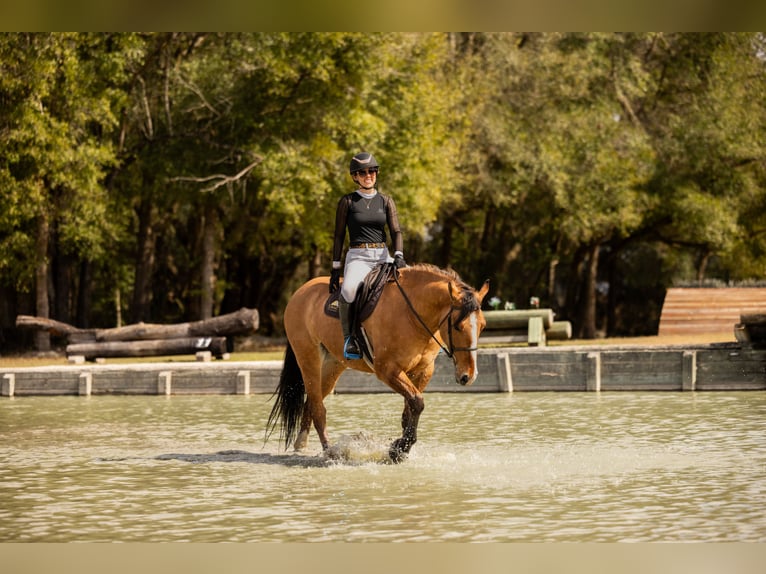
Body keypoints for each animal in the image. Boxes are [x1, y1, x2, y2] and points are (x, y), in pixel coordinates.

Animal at [266, 263, 490, 463]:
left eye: (483, 326)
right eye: (458, 326)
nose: (468, 376)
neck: (412, 314)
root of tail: (301, 291)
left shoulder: (422, 371)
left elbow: (409, 411)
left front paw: (400, 448)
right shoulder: (388, 370)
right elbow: (417, 402)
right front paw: (399, 448)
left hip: (332, 365)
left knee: (313, 401)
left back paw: (301, 444)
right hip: (308, 358)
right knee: (318, 407)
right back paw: (331, 452)